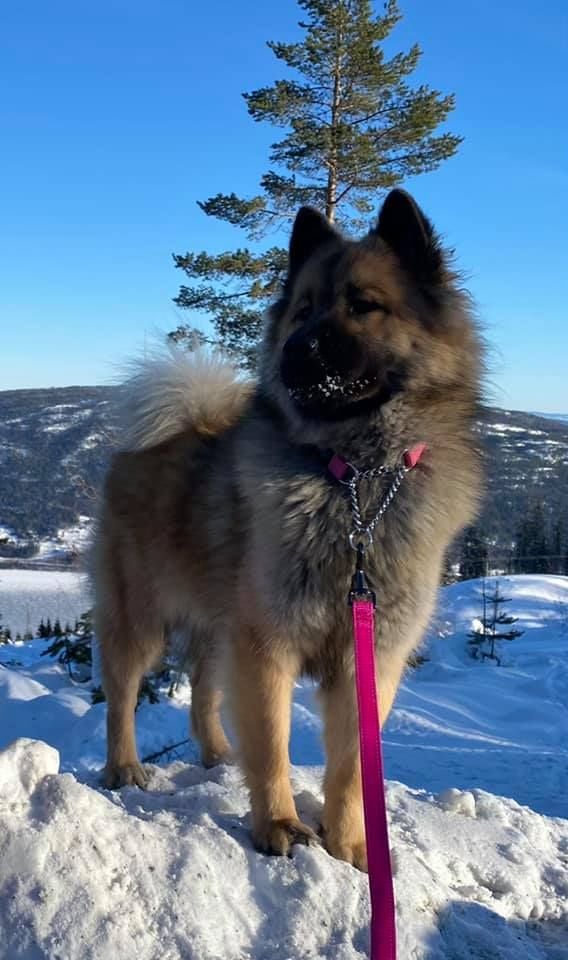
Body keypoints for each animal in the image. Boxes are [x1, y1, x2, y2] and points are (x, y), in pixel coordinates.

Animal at [93, 188, 484, 872]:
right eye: (302, 309)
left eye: (364, 305)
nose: (294, 349)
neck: (353, 481)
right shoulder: (266, 644)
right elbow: (273, 745)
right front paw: (277, 826)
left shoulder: (367, 658)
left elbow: (351, 770)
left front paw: (350, 845)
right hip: (140, 615)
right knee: (122, 690)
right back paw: (125, 768)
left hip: (216, 621)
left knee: (203, 689)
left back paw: (219, 755)